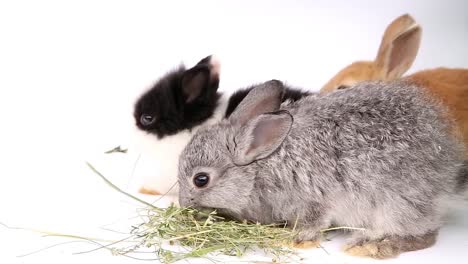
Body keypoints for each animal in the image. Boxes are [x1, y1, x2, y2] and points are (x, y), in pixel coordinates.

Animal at [177, 79, 466, 258]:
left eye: (201, 179)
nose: (182, 203)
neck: (259, 166)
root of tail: (447, 173)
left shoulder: (310, 198)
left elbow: (313, 223)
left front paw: (293, 239)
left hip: (394, 205)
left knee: (423, 234)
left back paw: (370, 246)